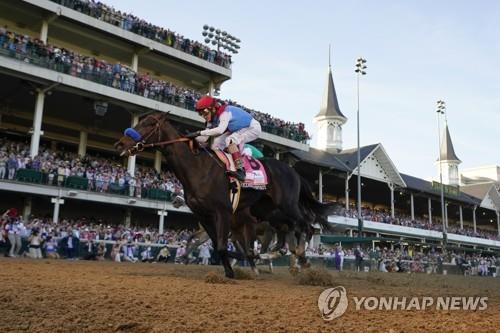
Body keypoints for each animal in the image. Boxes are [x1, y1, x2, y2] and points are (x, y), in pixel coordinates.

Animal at [114, 113, 332, 276]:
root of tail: (294, 171)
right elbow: (218, 245)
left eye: (148, 124)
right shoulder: (206, 216)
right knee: (287, 235)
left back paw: (301, 259)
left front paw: (238, 268)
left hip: (287, 204)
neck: (198, 168)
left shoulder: (225, 212)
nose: (120, 144)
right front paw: (231, 268)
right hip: (269, 212)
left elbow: (223, 246)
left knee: (306, 226)